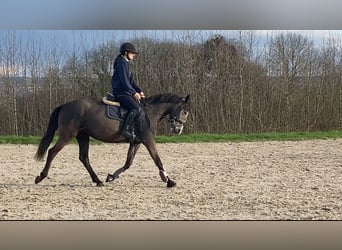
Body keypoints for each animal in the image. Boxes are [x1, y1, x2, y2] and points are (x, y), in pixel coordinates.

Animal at [35, 93, 190, 188]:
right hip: (68, 135)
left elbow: (128, 163)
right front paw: (168, 180)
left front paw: (111, 177)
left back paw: (98, 181)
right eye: (185, 112)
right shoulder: (148, 140)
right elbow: (157, 160)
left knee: (84, 157)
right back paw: (41, 176)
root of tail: (64, 105)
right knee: (52, 152)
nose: (178, 130)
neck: (149, 114)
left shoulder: (136, 142)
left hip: (83, 136)